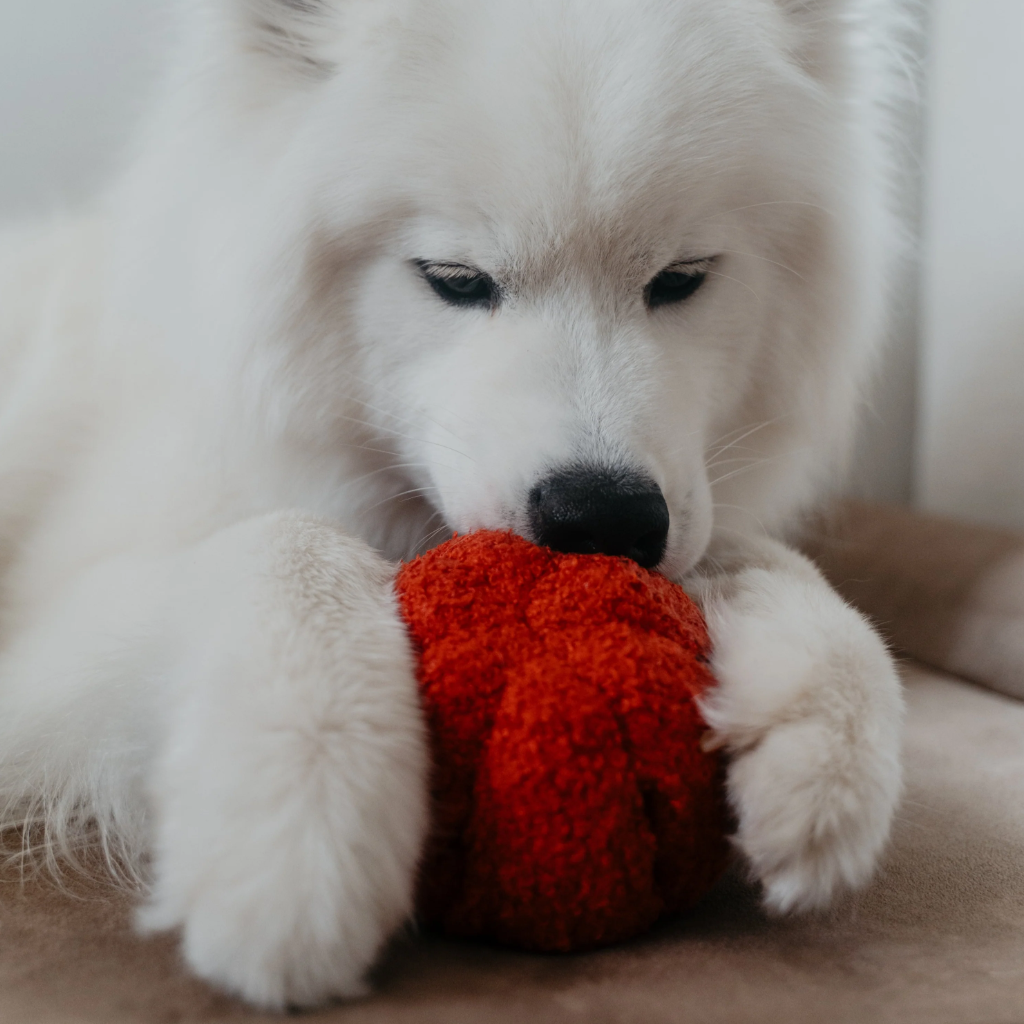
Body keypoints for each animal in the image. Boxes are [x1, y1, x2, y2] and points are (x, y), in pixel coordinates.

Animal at [0, 0, 905, 1007]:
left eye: (682, 277)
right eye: (455, 279)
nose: (602, 520)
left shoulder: (689, 506)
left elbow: (771, 564)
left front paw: (828, 727)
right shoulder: (52, 634)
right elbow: (286, 541)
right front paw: (301, 802)